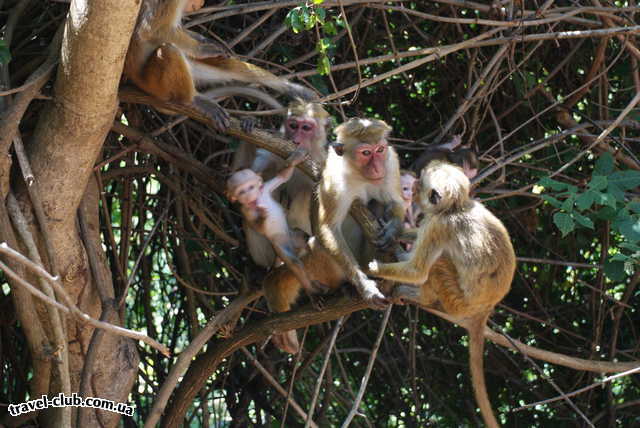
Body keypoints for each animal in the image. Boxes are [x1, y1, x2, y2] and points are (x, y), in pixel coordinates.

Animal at [124, 0, 314, 130]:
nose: (199, 4)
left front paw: (204, 39)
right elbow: (150, 30)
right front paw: (202, 48)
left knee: (226, 67)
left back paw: (292, 89)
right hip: (154, 83)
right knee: (170, 50)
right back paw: (193, 101)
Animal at [364, 160, 516, 428]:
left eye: (419, 184)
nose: (412, 191)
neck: (456, 208)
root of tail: (485, 308)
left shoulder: (439, 225)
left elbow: (419, 271)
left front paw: (376, 268)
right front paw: (394, 231)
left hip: (455, 299)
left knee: (438, 265)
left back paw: (420, 295)